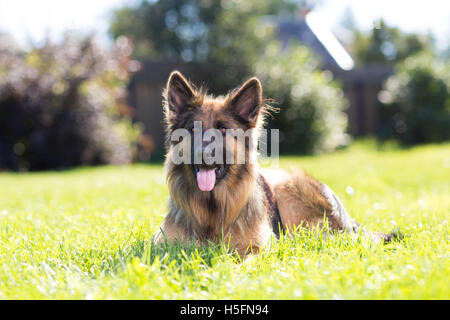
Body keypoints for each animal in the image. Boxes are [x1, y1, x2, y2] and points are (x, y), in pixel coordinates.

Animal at [155, 71, 394, 256]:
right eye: (192, 129)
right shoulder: (162, 245)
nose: (203, 154)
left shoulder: (259, 246)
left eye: (223, 129)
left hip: (288, 190)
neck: (211, 209)